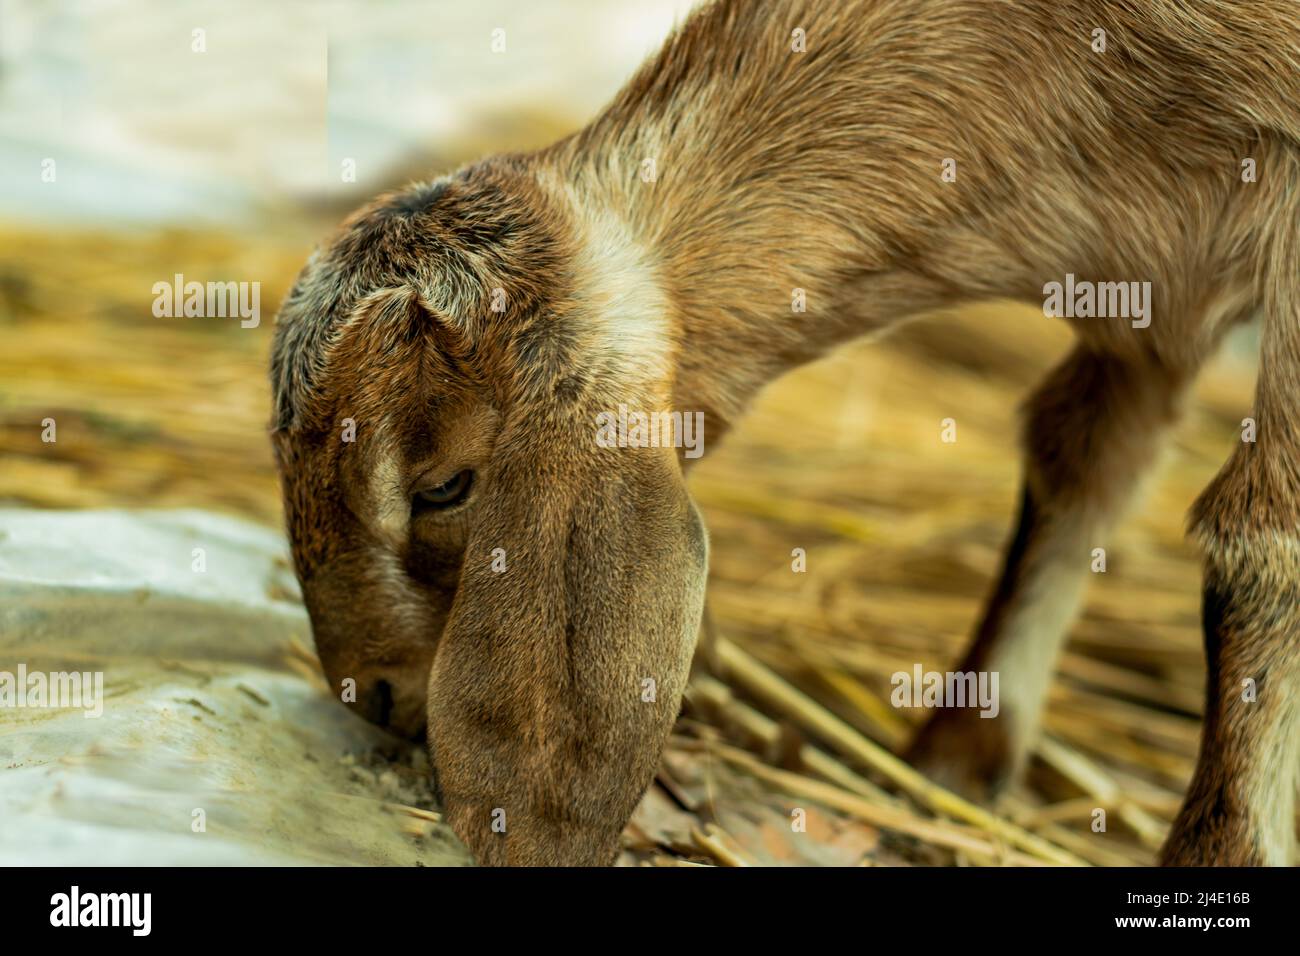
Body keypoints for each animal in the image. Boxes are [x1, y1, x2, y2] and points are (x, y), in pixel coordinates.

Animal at [269, 1, 1300, 868]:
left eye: (444, 488)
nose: (374, 694)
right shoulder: (1147, 289)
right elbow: (1081, 456)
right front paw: (957, 758)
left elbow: (1262, 539)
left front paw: (1223, 852)